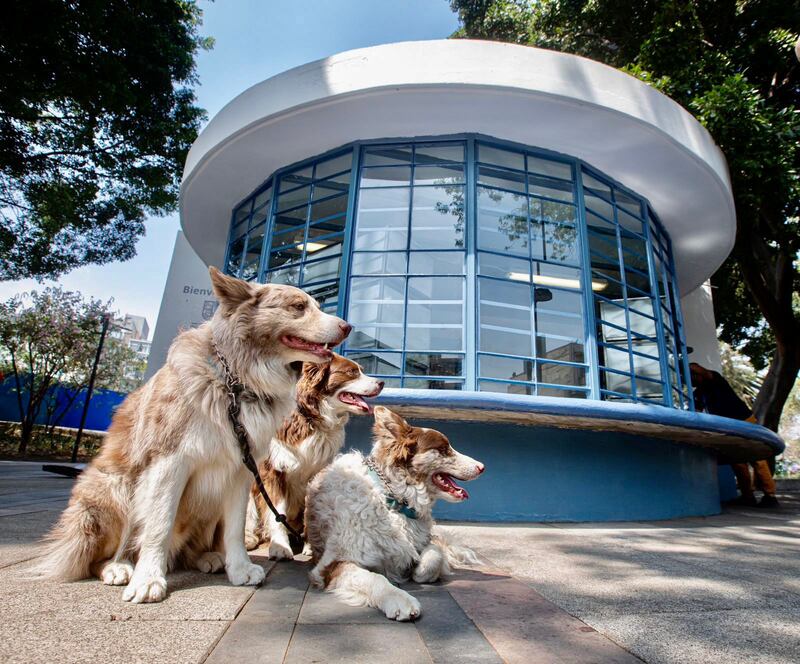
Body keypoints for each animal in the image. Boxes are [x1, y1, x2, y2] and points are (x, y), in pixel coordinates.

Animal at [35, 268, 350, 604]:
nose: (348, 326)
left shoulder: (242, 468)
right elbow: (159, 524)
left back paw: (208, 558)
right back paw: (118, 567)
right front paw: (148, 579)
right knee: (97, 554)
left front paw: (240, 569)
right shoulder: (169, 461)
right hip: (114, 488)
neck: (235, 382)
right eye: (298, 307)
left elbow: (235, 526)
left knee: (192, 548)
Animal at [245, 352, 382, 560]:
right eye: (351, 372)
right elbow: (277, 513)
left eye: (361, 370)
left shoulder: (317, 472)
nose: (382, 382)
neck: (310, 417)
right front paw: (280, 547)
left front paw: (311, 544)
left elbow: (310, 509)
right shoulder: (273, 471)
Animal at [304, 404, 482, 624]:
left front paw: (420, 571)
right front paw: (399, 599)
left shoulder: (424, 539)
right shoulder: (332, 564)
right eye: (443, 449)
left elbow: (435, 554)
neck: (394, 500)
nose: (482, 467)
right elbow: (375, 578)